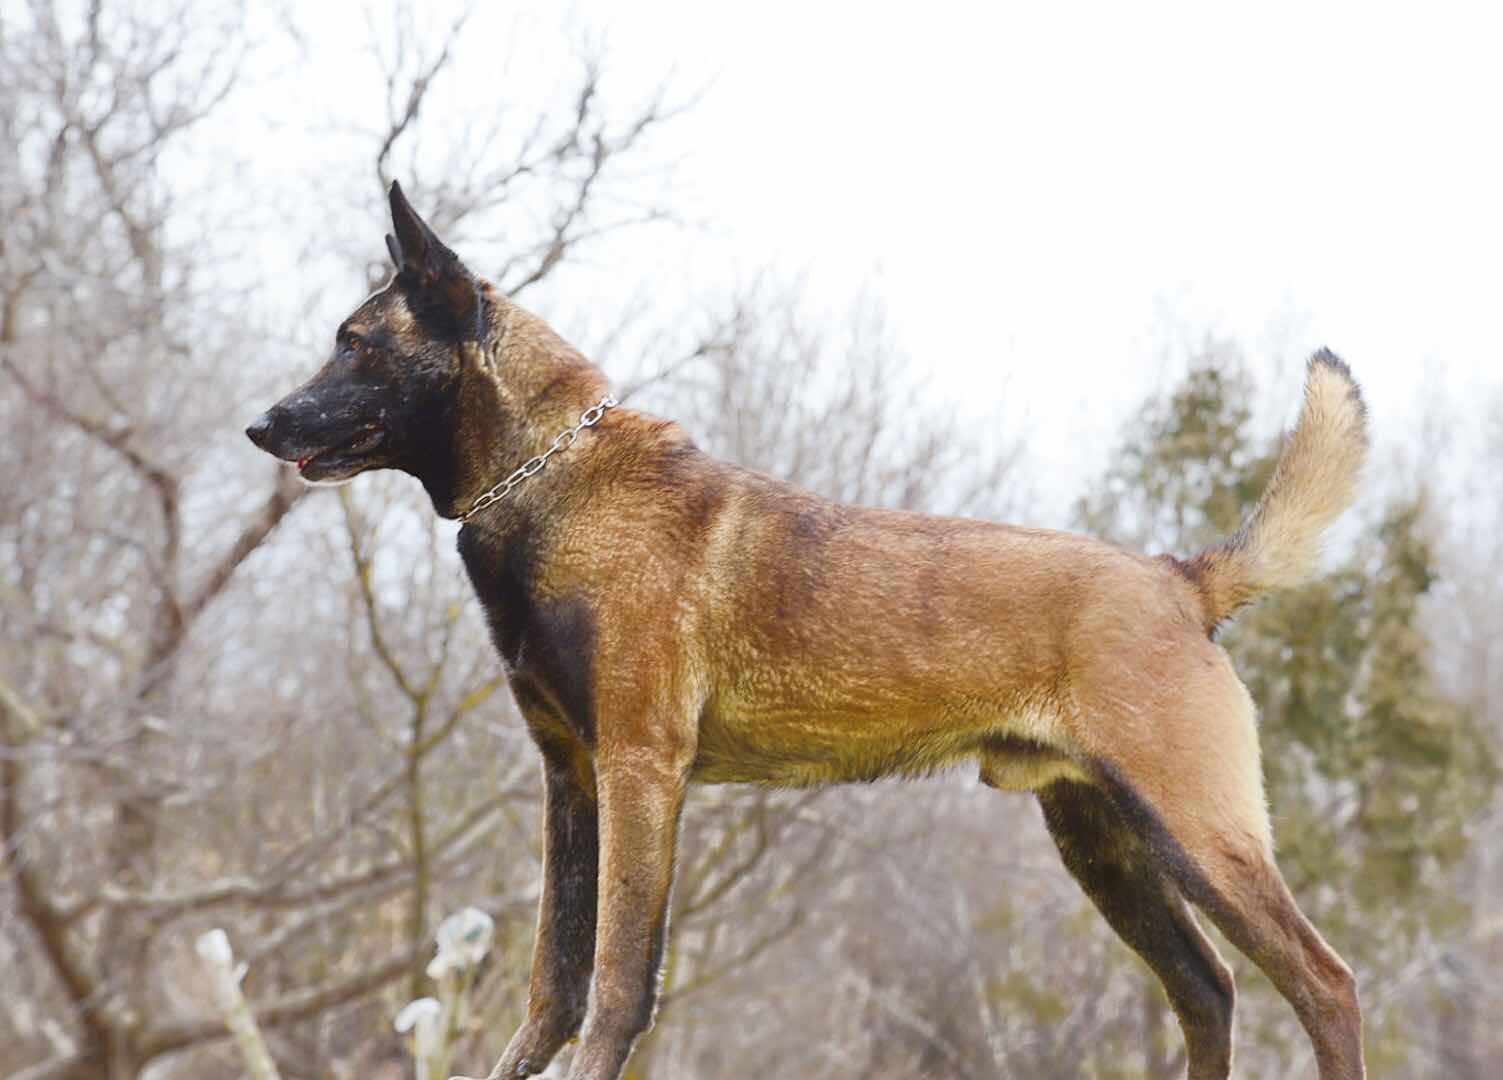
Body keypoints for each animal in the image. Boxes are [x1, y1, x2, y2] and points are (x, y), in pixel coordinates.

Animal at [249, 181, 1376, 1075]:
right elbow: (551, 990)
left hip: (1196, 833)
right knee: (1208, 992)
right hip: (1107, 845)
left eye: (355, 345)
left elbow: (615, 989)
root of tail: (1180, 580)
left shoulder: (639, 773)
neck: (551, 477)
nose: (261, 424)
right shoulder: (572, 783)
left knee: (1323, 984)